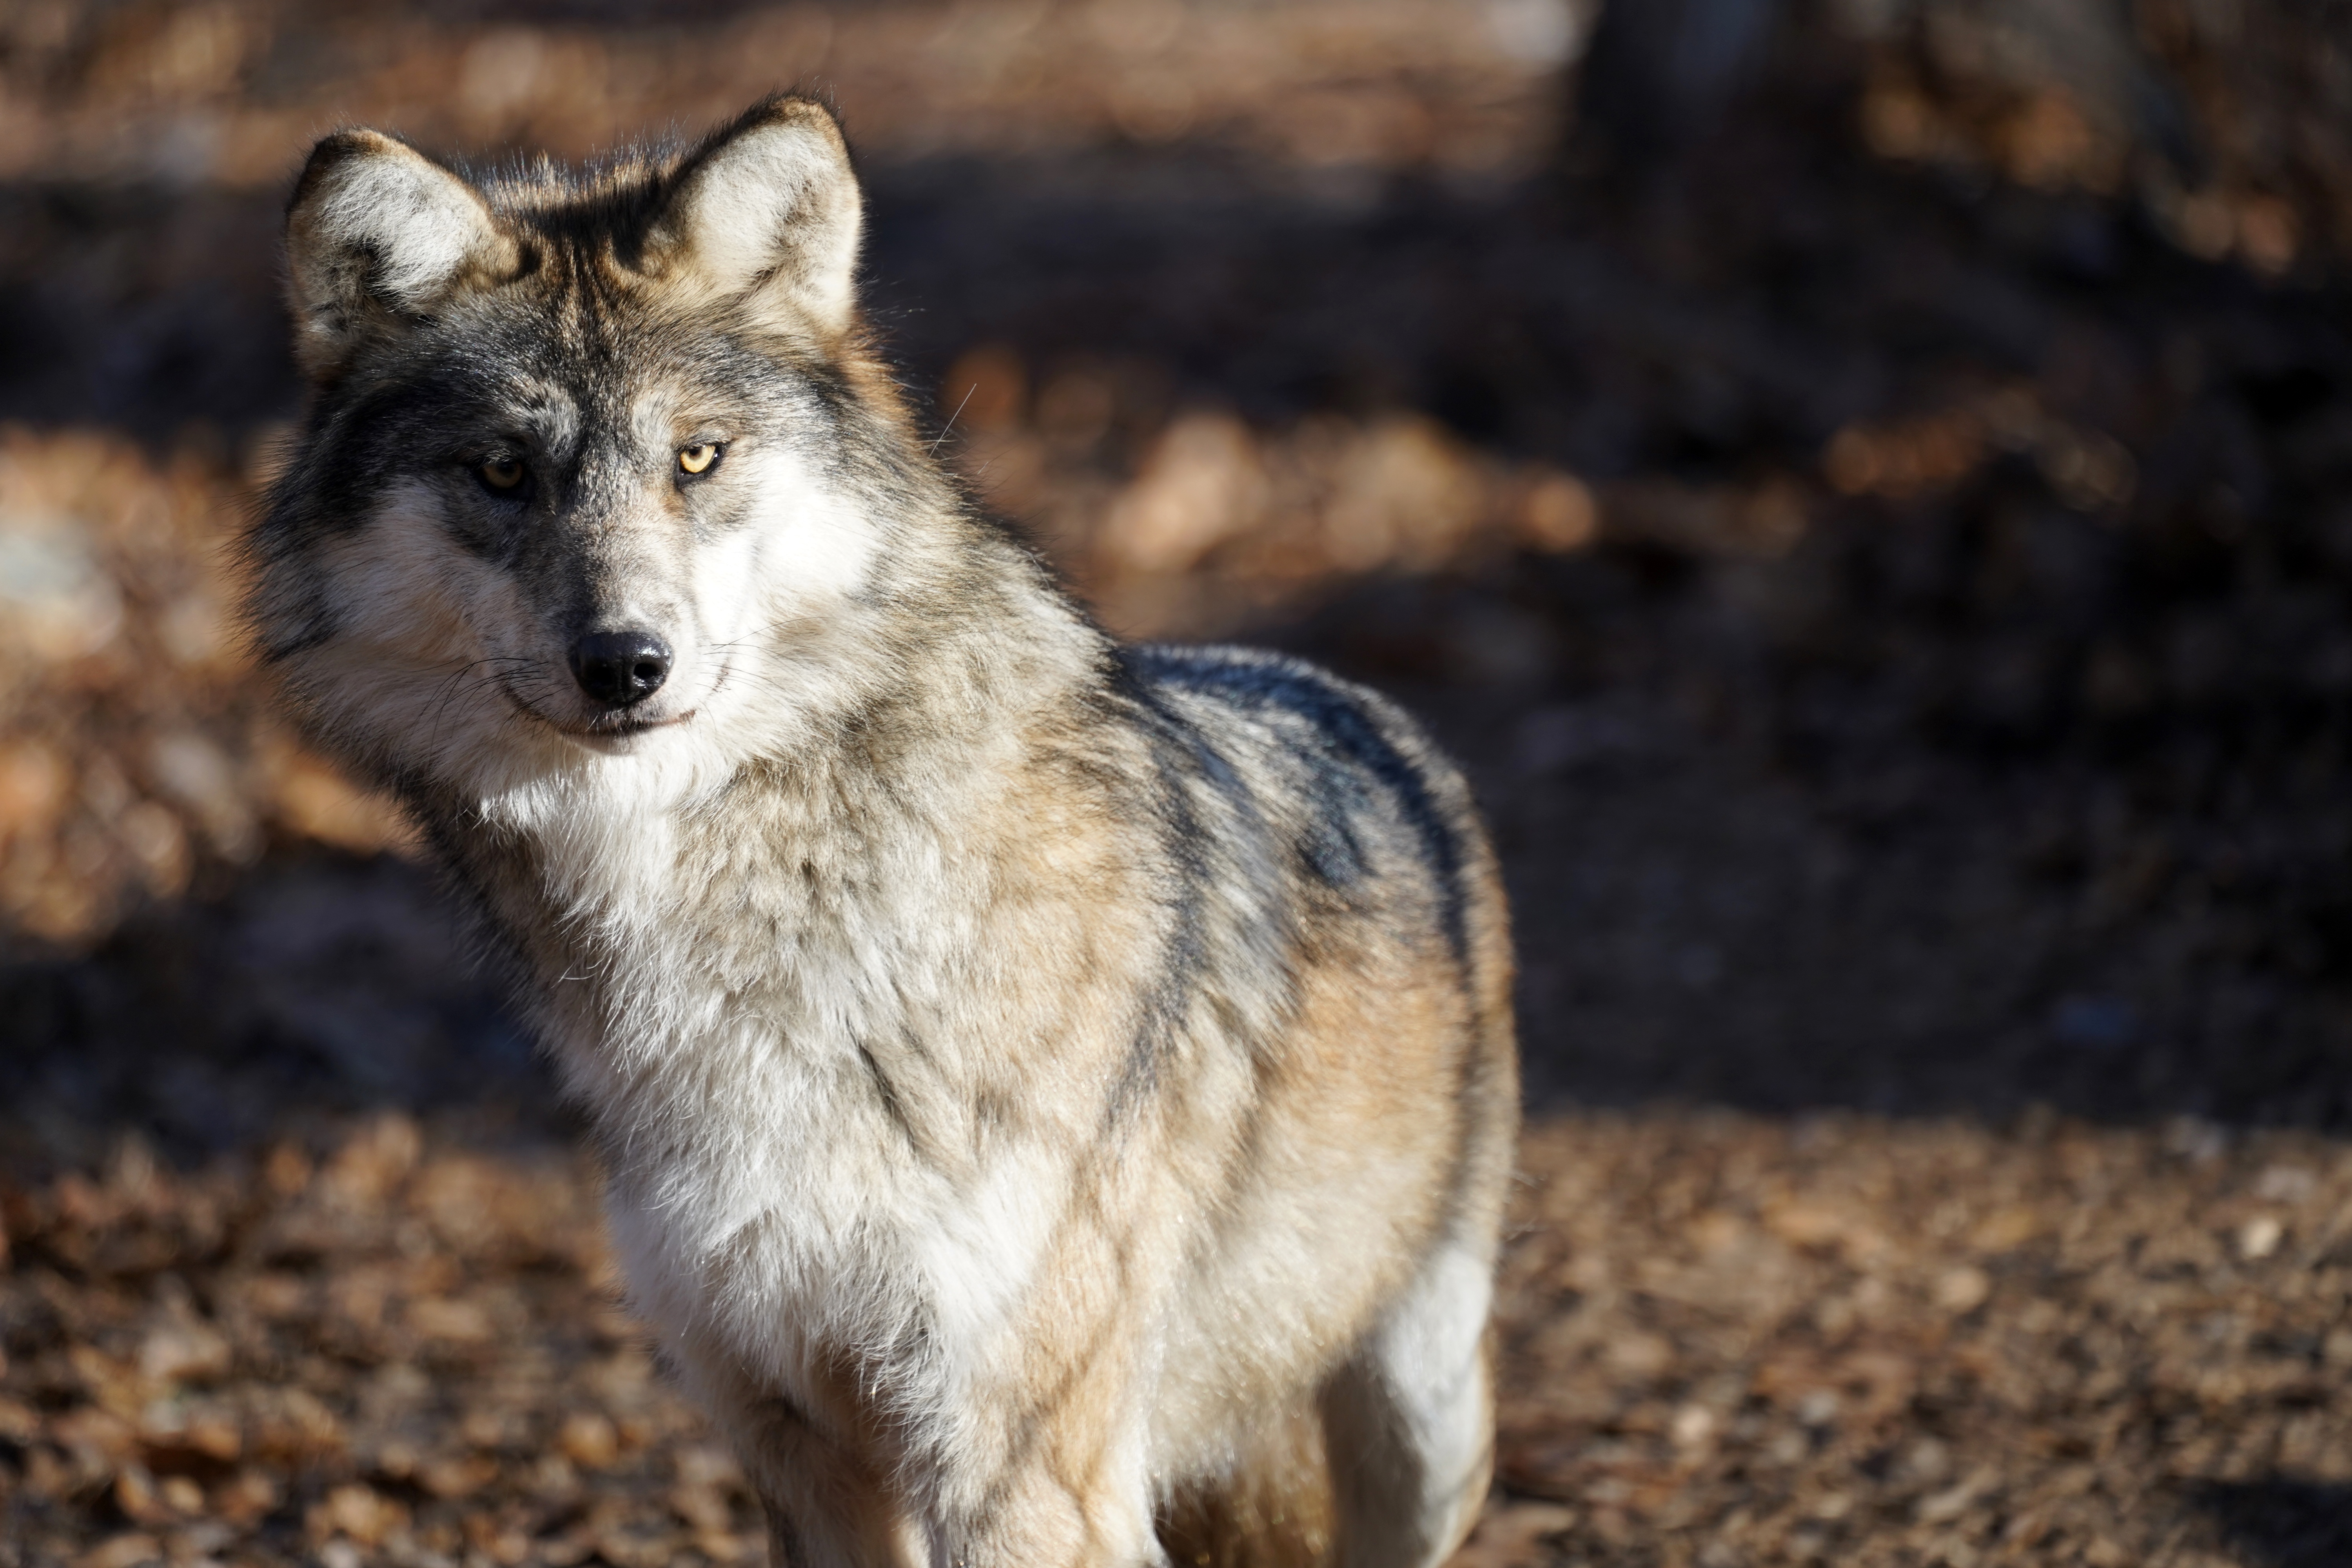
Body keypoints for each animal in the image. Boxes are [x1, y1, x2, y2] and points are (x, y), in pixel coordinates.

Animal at [243, 98, 1524, 1568]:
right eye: (503, 471)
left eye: (697, 456)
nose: (623, 663)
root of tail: (1351, 695)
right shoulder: (788, 1431)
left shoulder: (1021, 1470)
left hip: (1421, 1421)